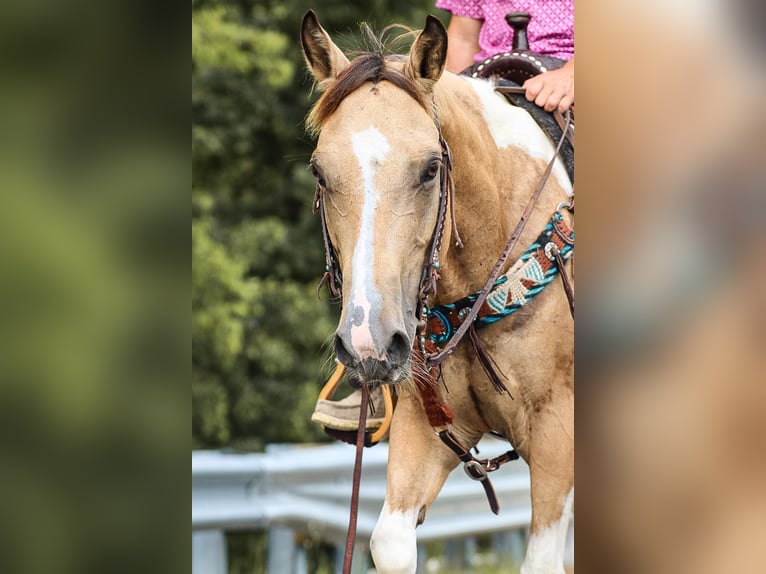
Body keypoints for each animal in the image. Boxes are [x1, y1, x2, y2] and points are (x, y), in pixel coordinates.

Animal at [304, 10, 572, 574]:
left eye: (430, 169)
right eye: (319, 171)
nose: (367, 342)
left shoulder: (557, 433)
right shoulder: (424, 424)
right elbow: (390, 543)